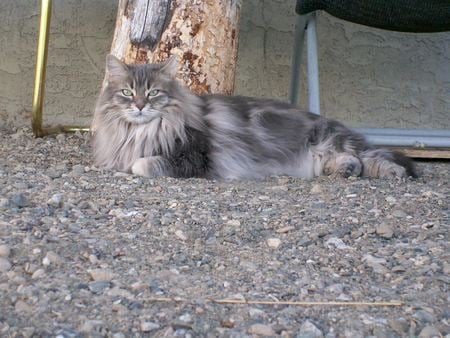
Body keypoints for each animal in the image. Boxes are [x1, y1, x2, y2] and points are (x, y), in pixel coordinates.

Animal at [91, 55, 418, 181]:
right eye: (127, 92)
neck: (138, 132)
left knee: (373, 156)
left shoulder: (194, 158)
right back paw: (344, 170)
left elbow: (142, 164)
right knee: (354, 160)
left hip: (332, 139)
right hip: (323, 154)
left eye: (154, 93)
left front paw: (135, 166)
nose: (140, 106)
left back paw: (393, 173)